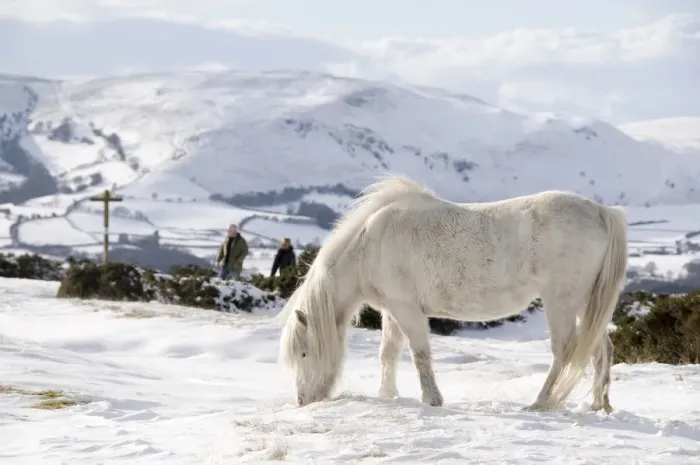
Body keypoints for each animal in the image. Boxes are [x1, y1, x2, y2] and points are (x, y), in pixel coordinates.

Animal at [277, 174, 627, 413]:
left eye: (304, 353)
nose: (303, 400)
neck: (369, 243)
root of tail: (601, 211)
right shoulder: (392, 310)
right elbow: (388, 353)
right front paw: (387, 395)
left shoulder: (406, 309)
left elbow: (419, 353)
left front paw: (432, 399)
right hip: (587, 303)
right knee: (600, 348)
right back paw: (600, 404)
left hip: (561, 302)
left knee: (565, 350)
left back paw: (541, 402)